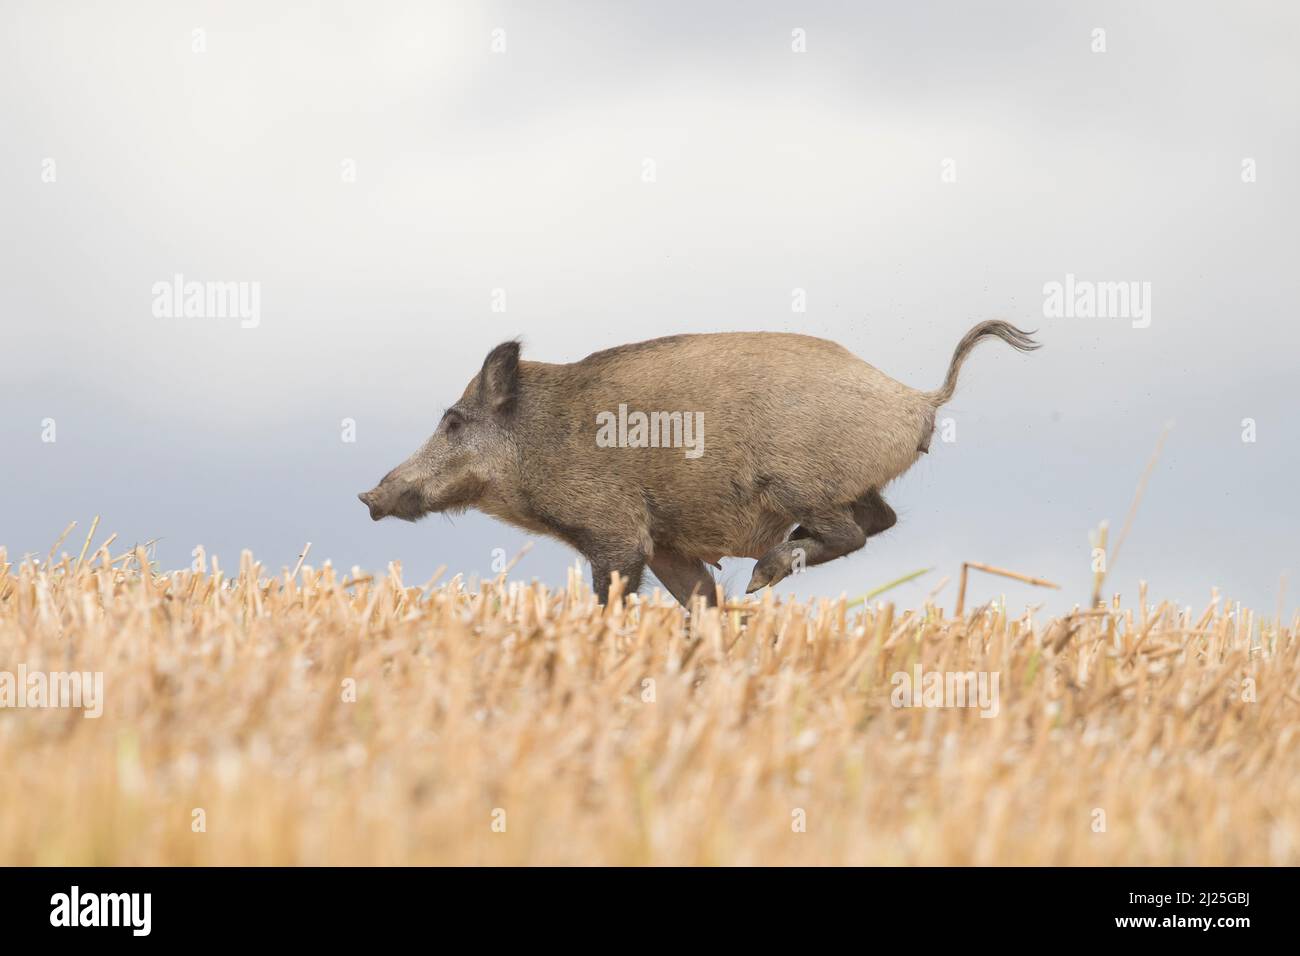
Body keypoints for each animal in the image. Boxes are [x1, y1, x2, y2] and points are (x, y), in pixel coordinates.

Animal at [358, 321, 1039, 607]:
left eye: (452, 421)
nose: (368, 498)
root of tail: (920, 398)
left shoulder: (615, 530)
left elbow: (612, 594)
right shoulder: (667, 544)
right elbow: (701, 598)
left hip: (796, 482)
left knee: (851, 532)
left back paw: (763, 576)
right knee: (882, 520)